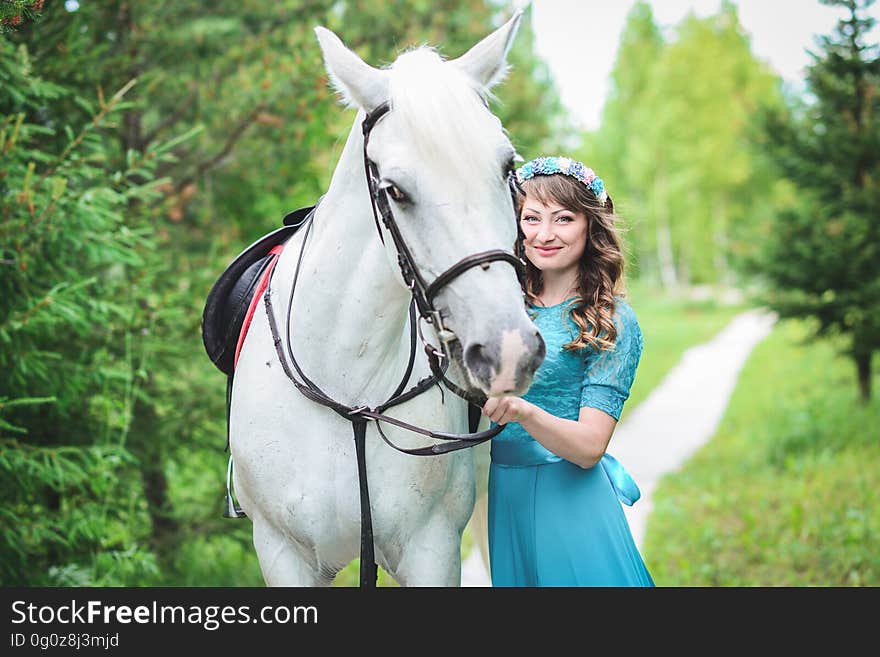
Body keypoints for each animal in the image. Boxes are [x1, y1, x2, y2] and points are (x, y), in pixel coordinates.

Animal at [229, 9, 544, 584]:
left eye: (507, 168)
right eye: (395, 190)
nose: (508, 348)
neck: (347, 392)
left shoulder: (430, 549)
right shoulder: (282, 552)